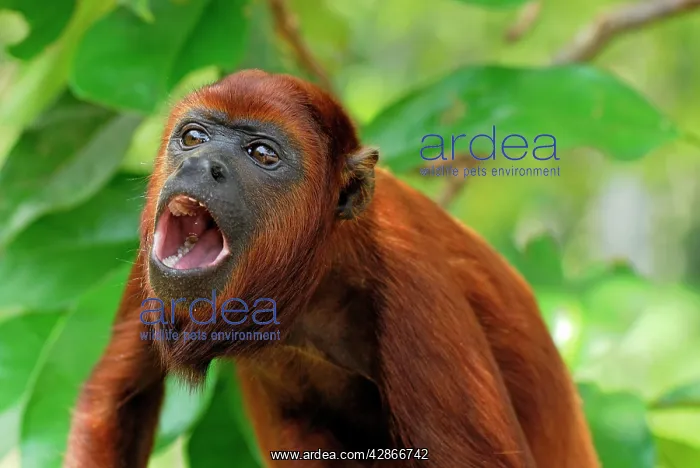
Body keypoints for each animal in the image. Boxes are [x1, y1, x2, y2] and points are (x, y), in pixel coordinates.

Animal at [64, 69, 600, 468]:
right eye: (193, 137)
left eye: (262, 154)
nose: (203, 165)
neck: (316, 276)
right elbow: (118, 396)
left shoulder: (417, 290)